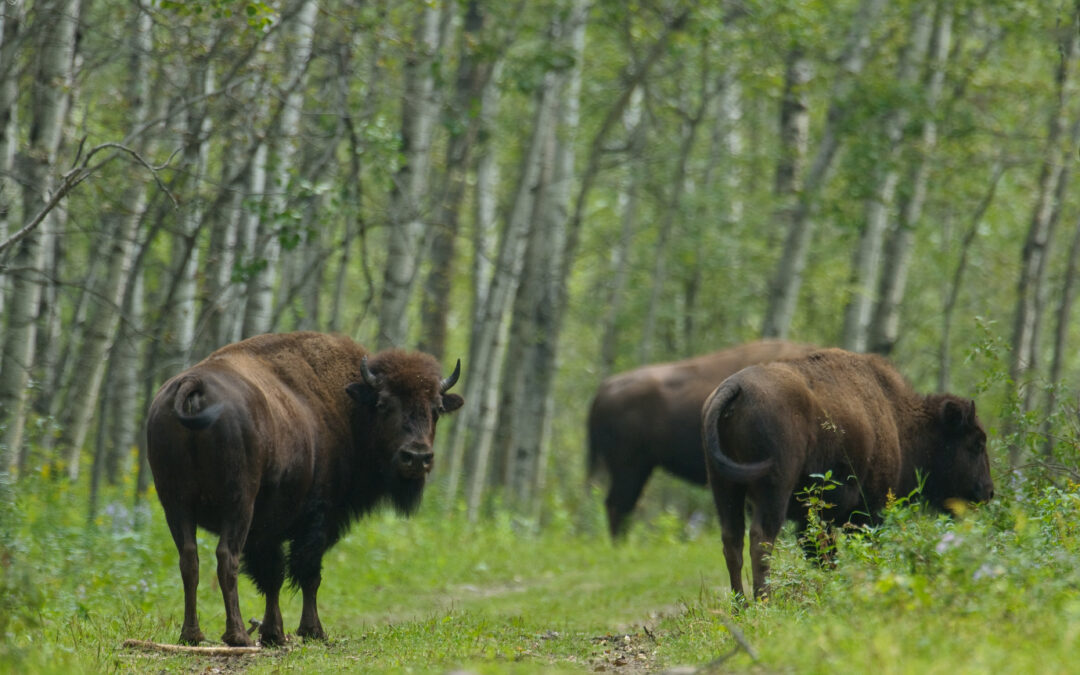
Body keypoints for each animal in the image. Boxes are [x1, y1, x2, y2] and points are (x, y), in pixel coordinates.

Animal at [144, 332, 464, 648]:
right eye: (384, 404)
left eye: (436, 409)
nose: (417, 457)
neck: (349, 407)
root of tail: (194, 383)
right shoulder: (318, 518)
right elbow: (308, 573)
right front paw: (312, 630)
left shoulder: (267, 531)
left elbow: (272, 576)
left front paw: (273, 633)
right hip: (238, 505)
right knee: (226, 558)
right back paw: (237, 636)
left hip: (175, 504)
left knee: (189, 560)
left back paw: (192, 635)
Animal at [699, 347, 993, 600]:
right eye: (977, 443)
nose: (988, 491)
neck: (897, 419)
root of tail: (735, 387)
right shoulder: (869, 512)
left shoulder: (814, 519)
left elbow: (824, 556)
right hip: (773, 490)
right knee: (761, 539)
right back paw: (763, 602)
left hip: (724, 488)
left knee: (732, 540)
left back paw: (741, 605)